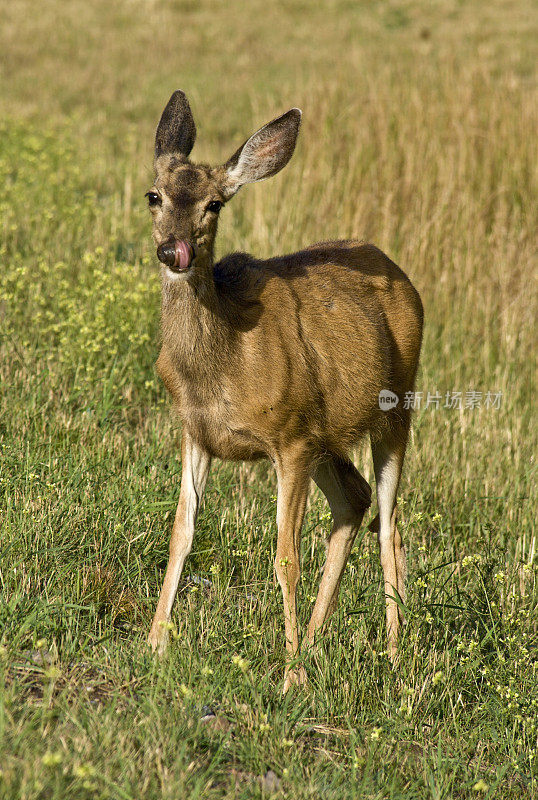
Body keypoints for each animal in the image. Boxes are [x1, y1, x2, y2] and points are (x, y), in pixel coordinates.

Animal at [144, 89, 420, 692]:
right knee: (355, 498)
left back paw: (392, 656)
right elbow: (181, 533)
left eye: (215, 204)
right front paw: (153, 644)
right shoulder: (195, 431)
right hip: (327, 433)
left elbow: (285, 558)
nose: (174, 251)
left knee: (390, 524)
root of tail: (400, 271)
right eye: (154, 195)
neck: (223, 367)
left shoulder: (289, 436)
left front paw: (289, 676)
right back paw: (317, 643)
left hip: (396, 406)